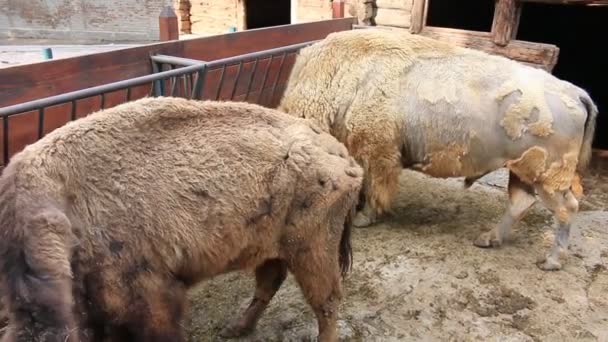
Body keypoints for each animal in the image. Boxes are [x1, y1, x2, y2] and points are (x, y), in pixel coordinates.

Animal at [0, 97, 364, 342]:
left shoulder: (152, 298)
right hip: (272, 248)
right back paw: (236, 328)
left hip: (313, 251)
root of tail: (341, 152)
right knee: (269, 283)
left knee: (326, 302)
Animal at [280, 28, 600, 270]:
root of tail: (577, 93)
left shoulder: (378, 152)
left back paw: (551, 261)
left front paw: (364, 218)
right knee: (521, 203)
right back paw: (488, 239)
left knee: (566, 208)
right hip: (521, 171)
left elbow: (375, 187)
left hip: (547, 177)